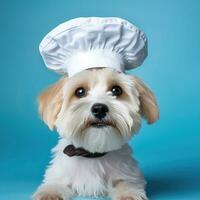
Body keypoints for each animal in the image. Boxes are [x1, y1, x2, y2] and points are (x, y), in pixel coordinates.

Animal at [32, 67, 159, 200]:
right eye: (80, 91)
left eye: (116, 90)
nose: (99, 109)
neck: (93, 154)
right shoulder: (59, 173)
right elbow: (55, 183)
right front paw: (49, 193)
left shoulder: (128, 173)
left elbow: (126, 183)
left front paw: (128, 193)